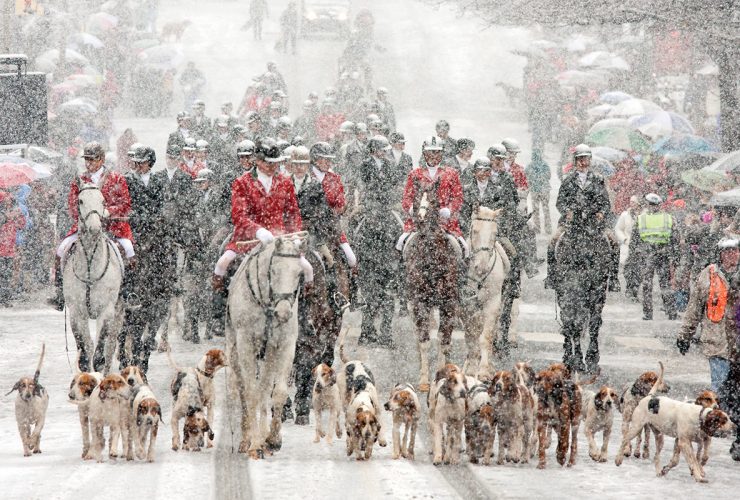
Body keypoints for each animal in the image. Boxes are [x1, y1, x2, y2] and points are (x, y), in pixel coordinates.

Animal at [62, 184, 123, 376]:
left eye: (103, 201)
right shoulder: (76, 312)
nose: (95, 227)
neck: (90, 266)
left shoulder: (107, 311)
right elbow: (85, 350)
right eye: (81, 201)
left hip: (119, 310)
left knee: (110, 346)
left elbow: (100, 353)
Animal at [224, 232, 308, 458]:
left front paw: (272, 439)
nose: (284, 313)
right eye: (274, 270)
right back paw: (246, 439)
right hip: (235, 351)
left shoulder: (283, 345)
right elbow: (251, 392)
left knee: (264, 389)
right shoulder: (246, 344)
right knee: (243, 390)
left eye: (299, 273)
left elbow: (277, 392)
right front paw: (254, 444)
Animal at [402, 178, 460, 392]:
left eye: (434, 201)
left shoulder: (448, 304)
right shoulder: (420, 303)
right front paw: (424, 380)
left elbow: (444, 340)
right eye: (417, 198)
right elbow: (425, 340)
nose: (419, 219)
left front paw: (444, 373)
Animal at [460, 206, 512, 378]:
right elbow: (470, 335)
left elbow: (486, 336)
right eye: (474, 230)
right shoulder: (466, 307)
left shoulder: (493, 303)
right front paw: (471, 368)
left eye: (494, 233)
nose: (482, 267)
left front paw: (483, 370)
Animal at [552, 224, 608, 376]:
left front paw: (590, 358)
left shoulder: (596, 292)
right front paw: (581, 360)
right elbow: (579, 324)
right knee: (572, 323)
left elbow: (592, 324)